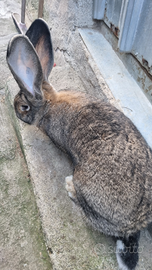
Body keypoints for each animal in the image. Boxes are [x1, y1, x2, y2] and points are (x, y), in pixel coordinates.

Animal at [6, 19, 152, 270]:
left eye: (24, 107)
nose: (16, 112)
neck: (49, 103)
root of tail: (134, 225)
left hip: (88, 188)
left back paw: (69, 186)